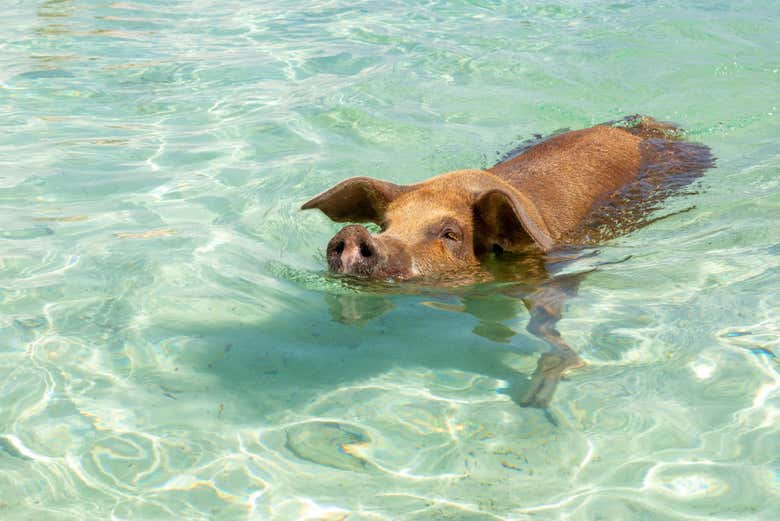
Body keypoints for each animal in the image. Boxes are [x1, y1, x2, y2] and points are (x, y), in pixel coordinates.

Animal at [302, 115, 714, 408]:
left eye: (451, 234)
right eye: (385, 224)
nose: (355, 234)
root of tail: (642, 128)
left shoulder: (548, 268)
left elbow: (544, 323)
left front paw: (536, 399)